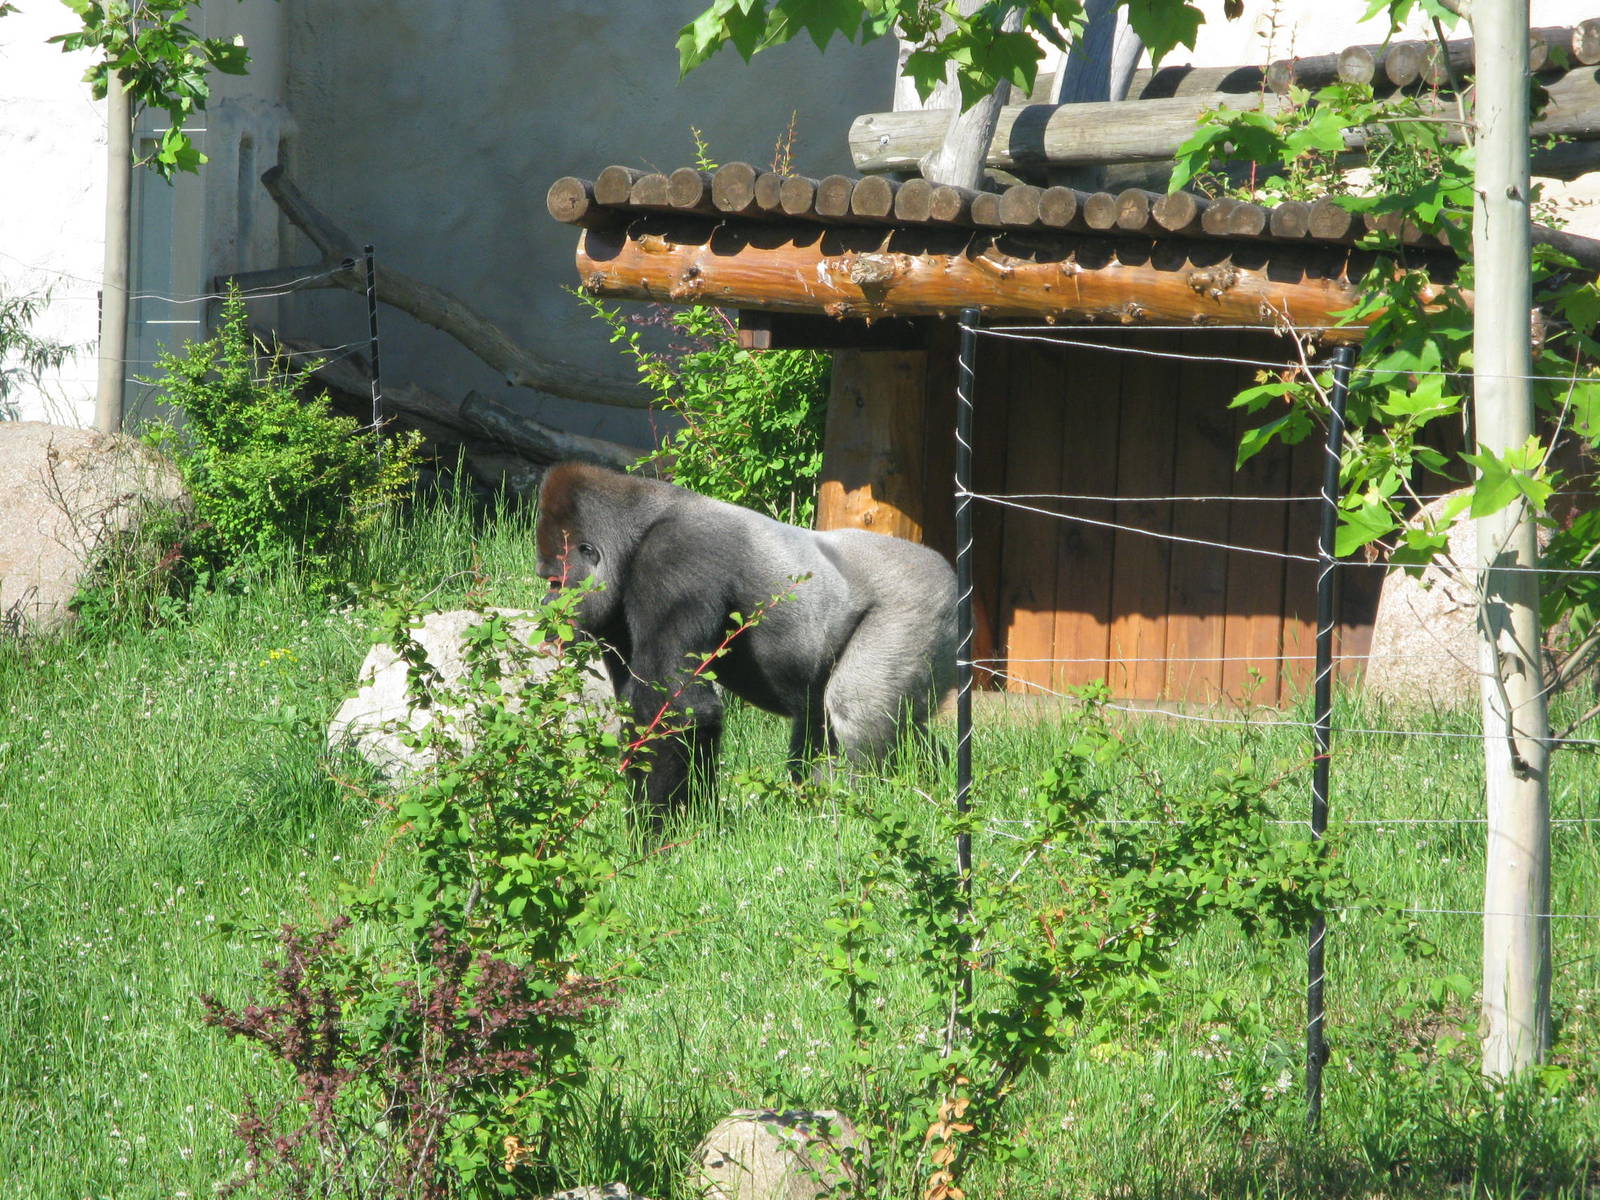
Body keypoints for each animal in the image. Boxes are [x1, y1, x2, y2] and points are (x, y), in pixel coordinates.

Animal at [534, 462, 956, 820]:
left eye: (554, 582)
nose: (546, 608)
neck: (638, 532)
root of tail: (951, 575)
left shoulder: (674, 560)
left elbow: (676, 709)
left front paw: (656, 835)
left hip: (920, 603)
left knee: (855, 709)